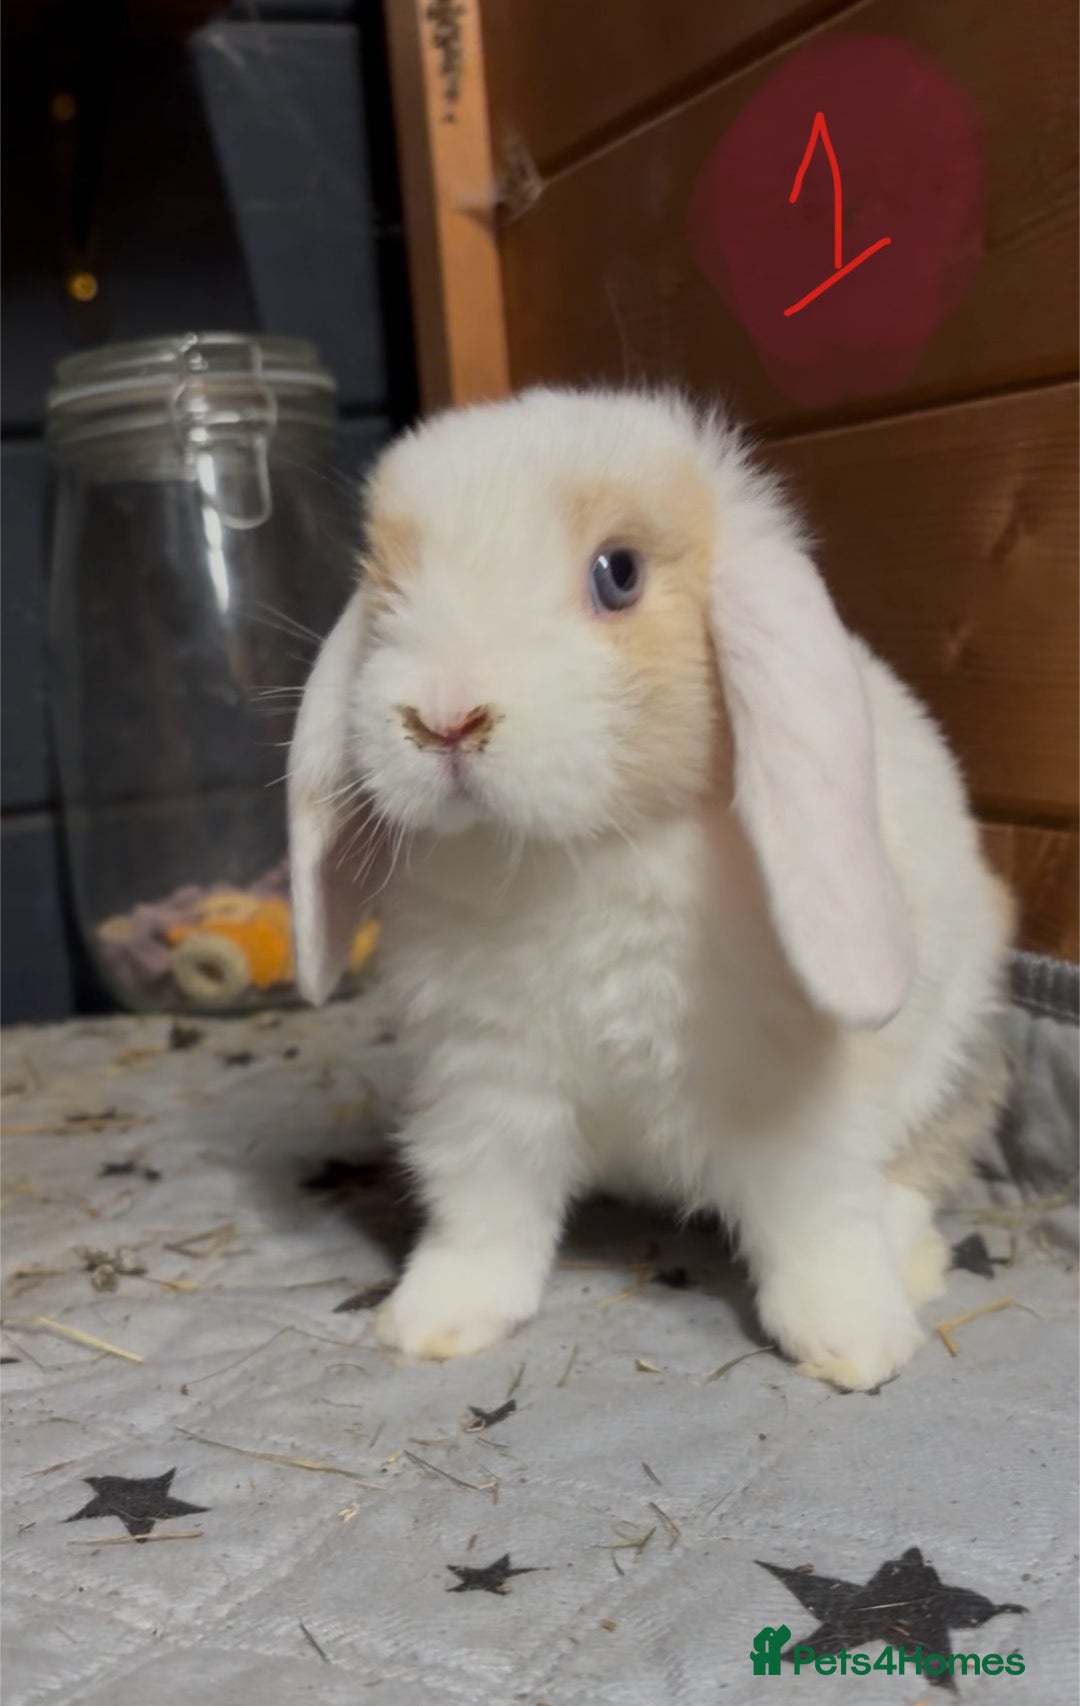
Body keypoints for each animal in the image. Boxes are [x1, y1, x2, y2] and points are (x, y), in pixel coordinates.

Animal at [288, 387, 1013, 1391]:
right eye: (389, 583)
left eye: (618, 574)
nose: (442, 720)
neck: (573, 853)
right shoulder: (485, 1087)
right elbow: (483, 1210)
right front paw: (434, 1321)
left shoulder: (798, 1104)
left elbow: (816, 1221)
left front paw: (854, 1344)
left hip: (957, 1046)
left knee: (920, 1167)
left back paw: (907, 1268)